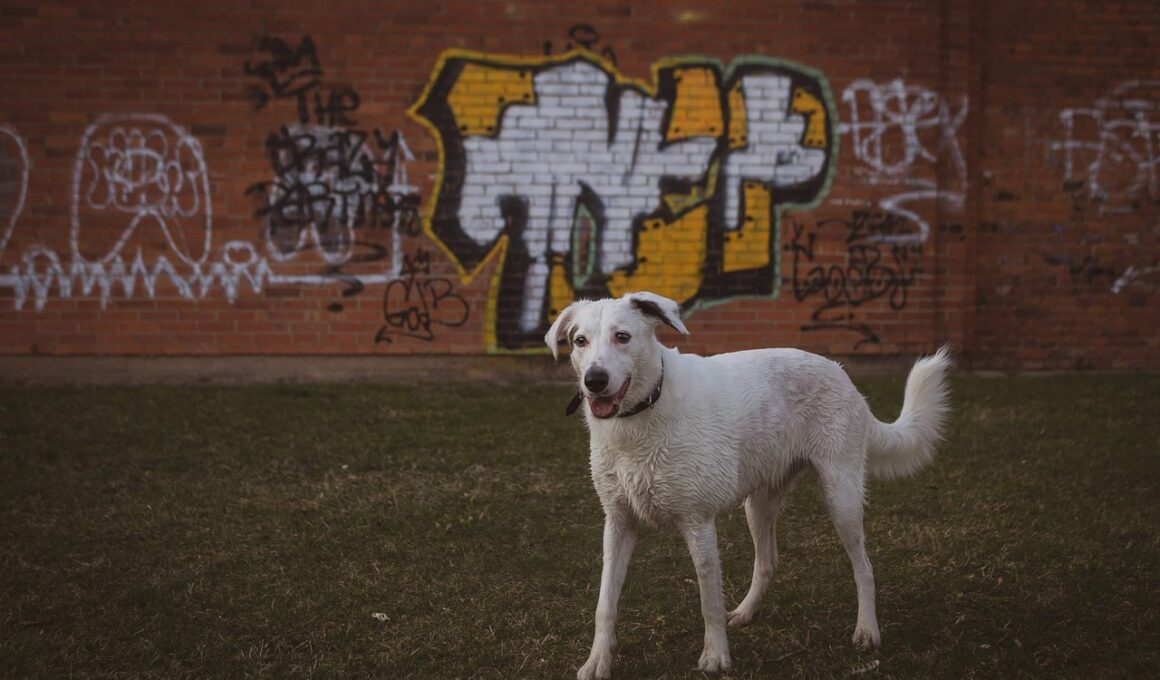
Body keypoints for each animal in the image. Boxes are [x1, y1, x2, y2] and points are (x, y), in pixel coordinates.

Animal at [545, 291, 952, 679]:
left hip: (842, 496)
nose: (594, 381)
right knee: (768, 561)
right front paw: (598, 661)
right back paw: (745, 611)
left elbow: (709, 601)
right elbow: (605, 602)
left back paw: (867, 630)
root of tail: (843, 376)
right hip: (759, 503)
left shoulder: (698, 524)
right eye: (579, 341)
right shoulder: (618, 524)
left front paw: (715, 656)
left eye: (623, 337)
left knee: (863, 566)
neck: (642, 412)